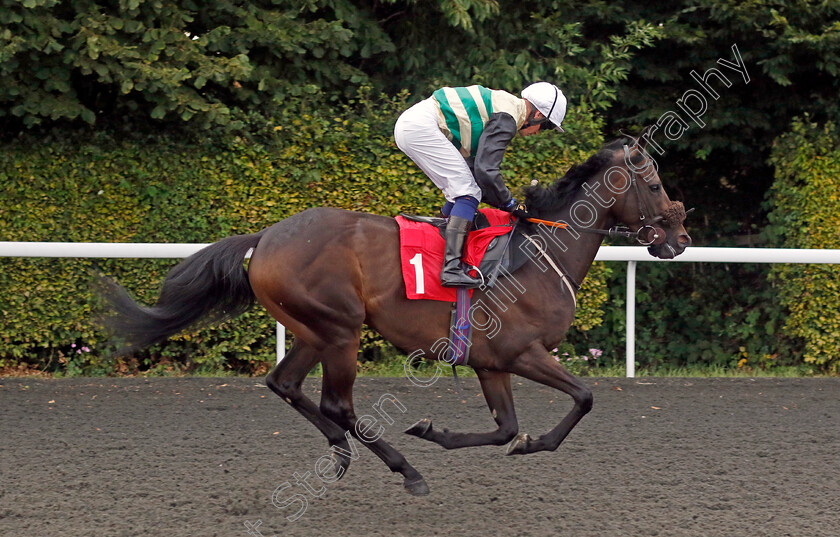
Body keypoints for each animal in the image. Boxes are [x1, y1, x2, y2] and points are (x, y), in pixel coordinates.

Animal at [100, 129, 688, 494]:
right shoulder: (523, 351)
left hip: (313, 329)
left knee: (284, 384)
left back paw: (343, 453)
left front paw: (438, 432)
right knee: (335, 403)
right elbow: (583, 398)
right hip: (340, 330)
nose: (679, 240)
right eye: (655, 184)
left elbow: (504, 428)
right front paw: (530, 445)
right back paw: (404, 470)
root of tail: (264, 237)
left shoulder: (490, 362)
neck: (539, 253)